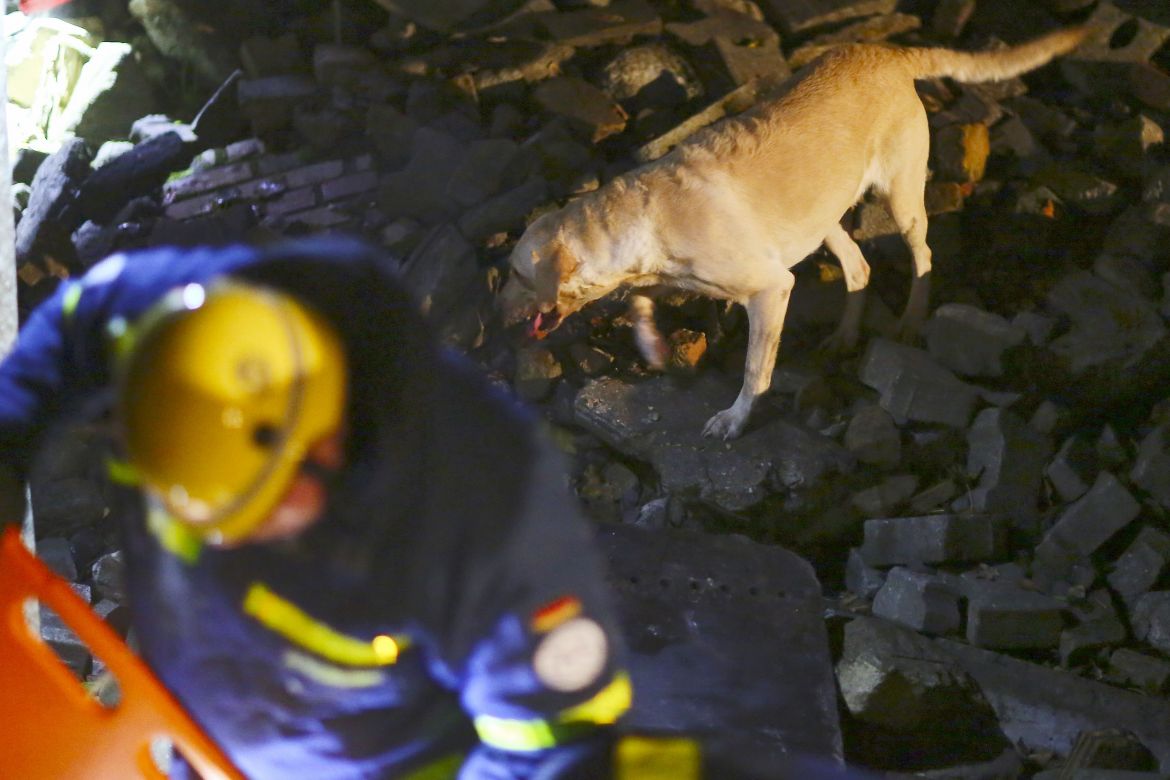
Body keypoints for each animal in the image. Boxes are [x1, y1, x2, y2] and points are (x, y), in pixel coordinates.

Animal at [500, 25, 1085, 439]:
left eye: (518, 276)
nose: (496, 313)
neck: (642, 214)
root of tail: (889, 53)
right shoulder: (662, 275)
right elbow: (640, 301)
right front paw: (654, 349)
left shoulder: (771, 288)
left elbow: (756, 369)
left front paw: (736, 419)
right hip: (823, 216)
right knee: (858, 267)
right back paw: (845, 335)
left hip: (901, 198)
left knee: (922, 257)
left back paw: (910, 321)